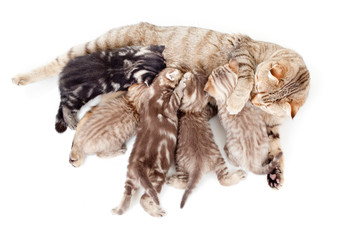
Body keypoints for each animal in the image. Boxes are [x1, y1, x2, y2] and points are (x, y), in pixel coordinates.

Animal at [12, 21, 310, 188]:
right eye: (258, 88)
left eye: (266, 102)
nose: (253, 100)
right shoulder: (244, 53)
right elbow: (244, 76)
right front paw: (238, 99)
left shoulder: (271, 128)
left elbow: (277, 148)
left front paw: (276, 173)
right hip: (98, 47)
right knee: (59, 62)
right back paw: (21, 77)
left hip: (118, 91)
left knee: (88, 118)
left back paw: (77, 146)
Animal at [112, 67, 185, 218]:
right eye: (179, 71)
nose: (183, 70)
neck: (155, 89)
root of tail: (136, 165)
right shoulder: (168, 104)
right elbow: (176, 95)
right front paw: (183, 83)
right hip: (157, 176)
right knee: (144, 198)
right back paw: (156, 211)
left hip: (131, 177)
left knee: (128, 193)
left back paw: (119, 209)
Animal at [167, 71, 246, 208]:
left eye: (196, 75)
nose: (192, 72)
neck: (191, 111)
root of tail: (198, 167)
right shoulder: (206, 112)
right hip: (216, 160)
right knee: (222, 179)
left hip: (182, 164)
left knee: (185, 183)